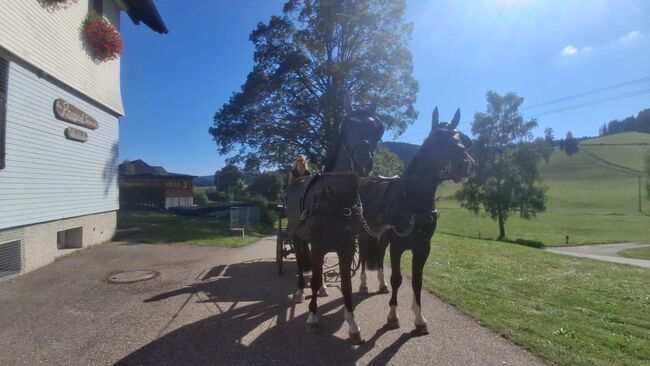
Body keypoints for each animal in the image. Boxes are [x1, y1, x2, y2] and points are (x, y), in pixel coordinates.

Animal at [284, 105, 380, 344]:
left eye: (377, 127)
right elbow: (315, 276)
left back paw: (324, 289)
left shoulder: (346, 247)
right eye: (346, 127)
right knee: (301, 263)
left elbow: (345, 284)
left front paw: (352, 324)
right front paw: (312, 318)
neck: (335, 198)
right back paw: (300, 291)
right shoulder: (318, 245)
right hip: (297, 236)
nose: (363, 163)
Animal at [356, 106, 474, 334]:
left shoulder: (422, 248)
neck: (412, 201)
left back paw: (381, 285)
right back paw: (364, 284)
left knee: (379, 257)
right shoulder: (398, 246)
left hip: (382, 239)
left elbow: (417, 282)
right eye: (438, 137)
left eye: (464, 138)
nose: (465, 164)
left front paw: (419, 319)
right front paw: (393, 316)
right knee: (365, 257)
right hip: (363, 235)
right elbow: (397, 279)